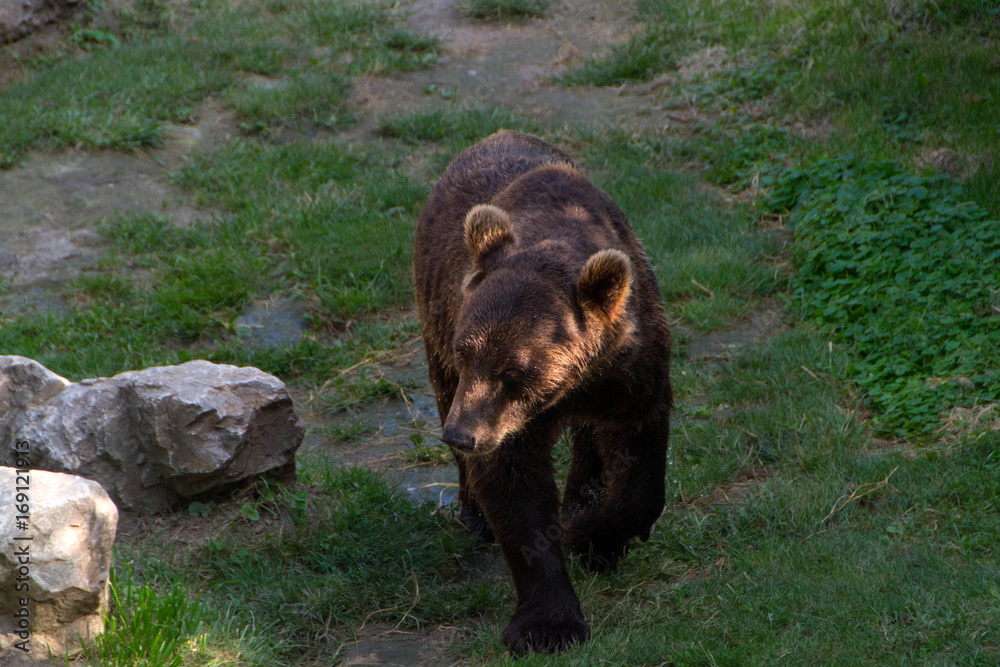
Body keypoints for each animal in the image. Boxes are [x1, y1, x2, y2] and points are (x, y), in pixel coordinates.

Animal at [413, 130, 671, 654]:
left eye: (515, 370)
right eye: (467, 351)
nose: (462, 435)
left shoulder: (630, 364)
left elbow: (640, 461)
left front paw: (593, 536)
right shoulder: (501, 416)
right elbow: (517, 492)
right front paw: (548, 624)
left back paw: (583, 496)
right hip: (434, 320)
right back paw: (475, 512)